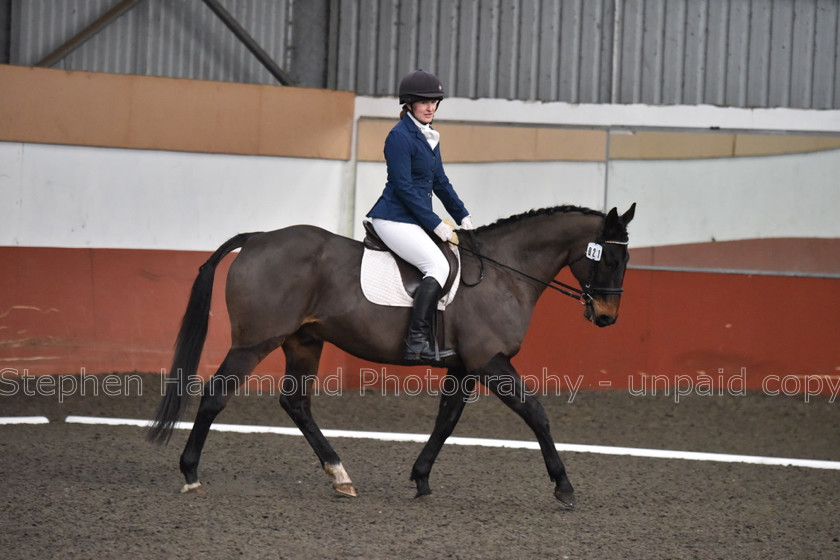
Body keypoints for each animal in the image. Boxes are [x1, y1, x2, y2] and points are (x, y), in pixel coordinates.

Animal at [149, 203, 636, 510]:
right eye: (610, 259)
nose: (607, 317)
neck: (504, 273)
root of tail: (258, 239)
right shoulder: (488, 361)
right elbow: (535, 412)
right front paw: (564, 487)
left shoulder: (463, 367)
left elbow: (447, 419)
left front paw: (421, 478)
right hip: (255, 343)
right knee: (216, 395)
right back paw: (191, 474)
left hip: (303, 341)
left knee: (296, 402)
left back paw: (340, 476)